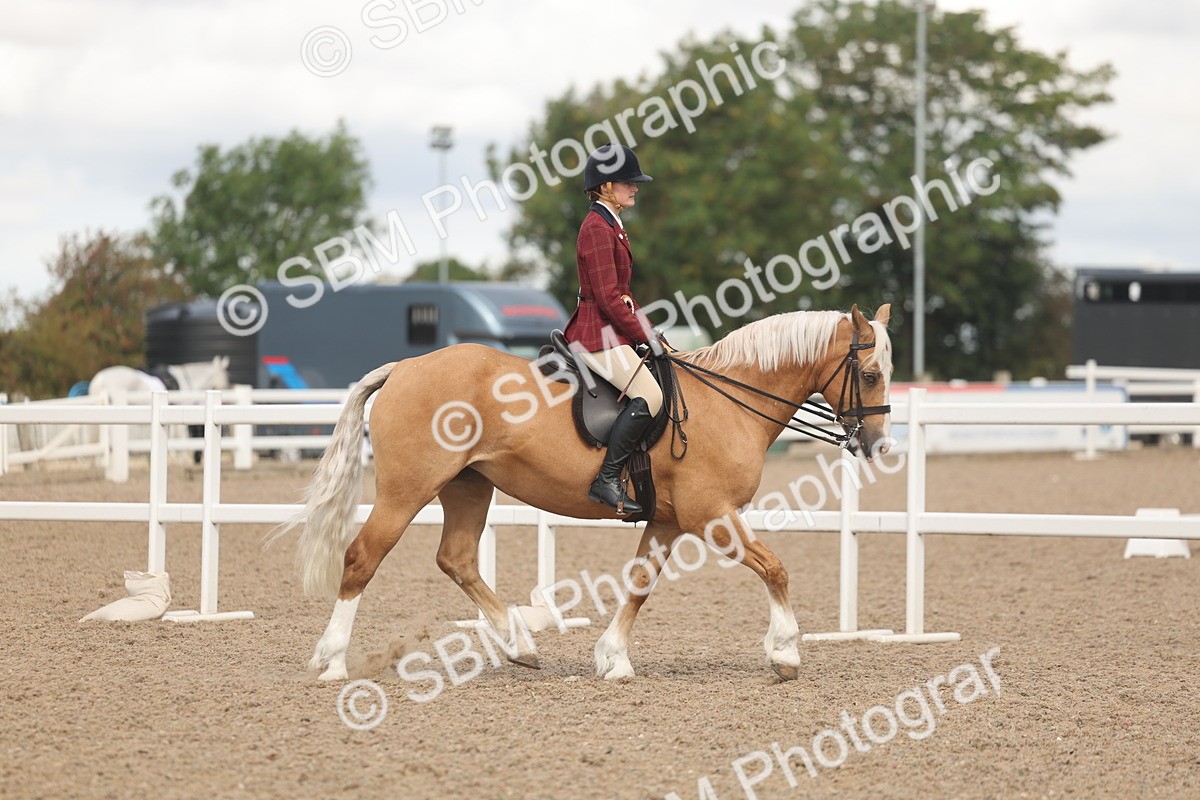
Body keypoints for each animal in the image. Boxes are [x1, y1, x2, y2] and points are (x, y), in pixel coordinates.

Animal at [277, 304, 893, 682]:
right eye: (868, 375)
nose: (879, 444)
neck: (727, 402)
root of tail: (404, 366)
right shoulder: (711, 516)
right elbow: (776, 569)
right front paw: (785, 651)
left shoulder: (668, 521)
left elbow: (640, 584)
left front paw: (612, 659)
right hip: (407, 490)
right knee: (362, 558)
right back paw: (332, 661)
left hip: (468, 487)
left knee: (456, 559)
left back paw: (520, 644)